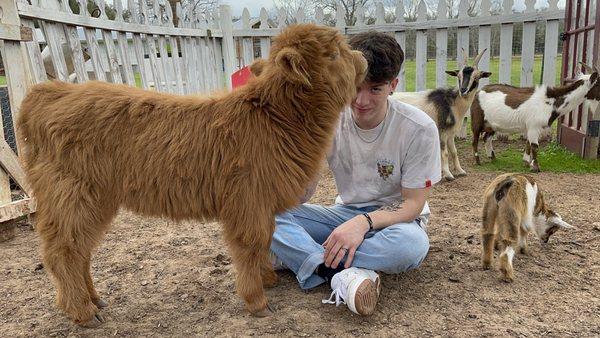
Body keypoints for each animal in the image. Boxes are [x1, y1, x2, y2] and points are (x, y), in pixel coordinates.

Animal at [17, 22, 366, 326]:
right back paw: (82, 311)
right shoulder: (248, 199)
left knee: (81, 249)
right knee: (62, 250)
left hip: (97, 200)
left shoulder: (261, 203)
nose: (362, 59)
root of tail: (50, 92)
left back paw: (94, 300)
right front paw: (257, 301)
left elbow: (266, 239)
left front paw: (267, 278)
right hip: (71, 194)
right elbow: (252, 243)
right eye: (334, 54)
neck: (276, 118)